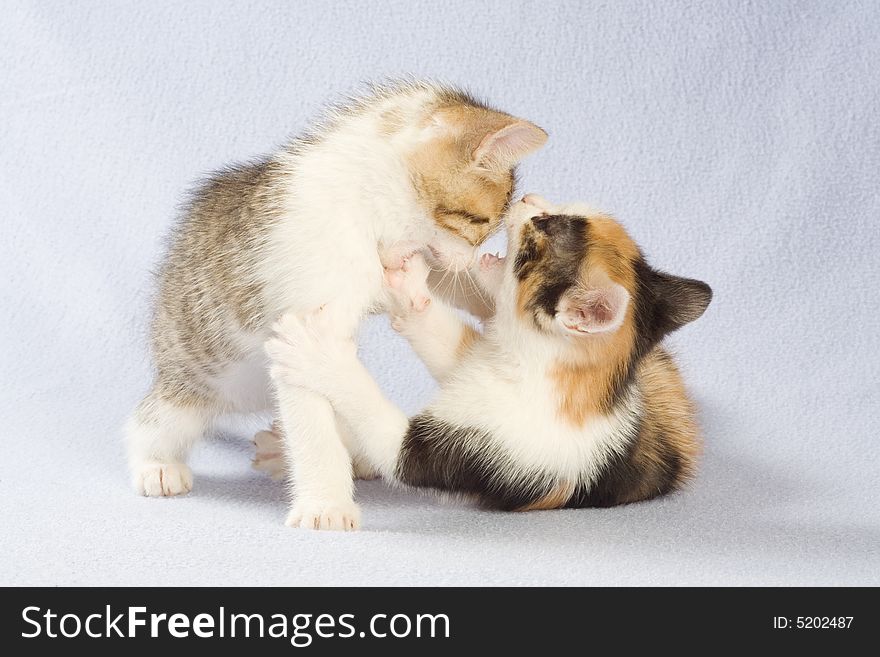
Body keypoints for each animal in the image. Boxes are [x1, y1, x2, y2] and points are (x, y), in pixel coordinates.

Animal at [127, 79, 548, 532]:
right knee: (151, 423)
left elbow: (435, 275)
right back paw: (156, 465)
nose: (472, 258)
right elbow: (313, 427)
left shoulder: (395, 263)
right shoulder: (303, 319)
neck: (364, 210)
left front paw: (490, 286)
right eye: (482, 223)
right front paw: (325, 506)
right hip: (193, 380)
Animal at [264, 195, 712, 516]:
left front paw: (315, 354)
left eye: (543, 226)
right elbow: (444, 340)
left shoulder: (469, 454)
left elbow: (377, 418)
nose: (528, 197)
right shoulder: (478, 362)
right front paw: (408, 283)